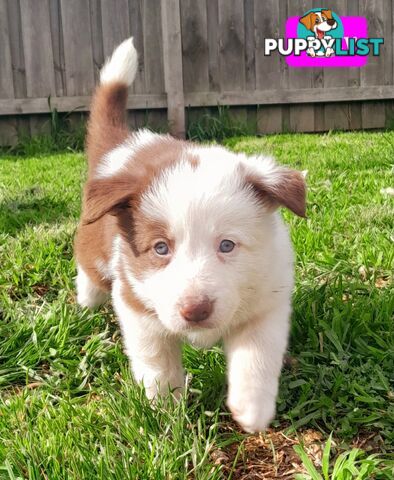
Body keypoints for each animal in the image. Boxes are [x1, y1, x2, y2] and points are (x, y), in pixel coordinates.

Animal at [74, 39, 308, 434]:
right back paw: (85, 299)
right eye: (160, 248)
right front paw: (167, 410)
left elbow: (257, 356)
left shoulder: (266, 302)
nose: (195, 310)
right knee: (89, 277)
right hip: (94, 251)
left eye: (227, 245)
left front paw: (252, 409)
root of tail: (120, 146)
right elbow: (157, 362)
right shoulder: (138, 306)